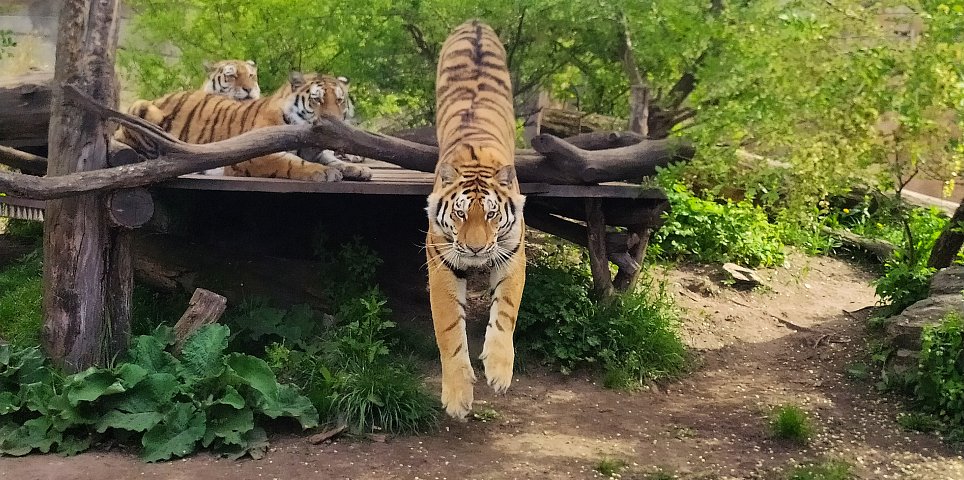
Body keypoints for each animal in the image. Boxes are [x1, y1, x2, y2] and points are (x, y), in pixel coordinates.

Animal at [113, 71, 370, 182]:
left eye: (339, 100)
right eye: (317, 100)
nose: (335, 121)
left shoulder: (317, 150)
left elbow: (332, 158)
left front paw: (356, 169)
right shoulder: (256, 156)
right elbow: (292, 163)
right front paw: (323, 172)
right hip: (141, 109)